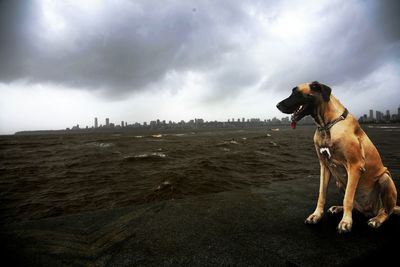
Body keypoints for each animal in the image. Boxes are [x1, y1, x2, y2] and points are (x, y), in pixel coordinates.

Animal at [276, 80, 398, 233]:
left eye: (297, 93)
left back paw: (377, 219)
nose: (277, 105)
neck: (327, 125)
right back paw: (338, 208)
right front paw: (316, 215)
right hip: (339, 182)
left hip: (385, 179)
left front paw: (346, 222)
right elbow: (321, 194)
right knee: (357, 208)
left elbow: (348, 198)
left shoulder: (355, 166)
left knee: (386, 211)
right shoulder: (324, 166)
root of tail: (369, 211)